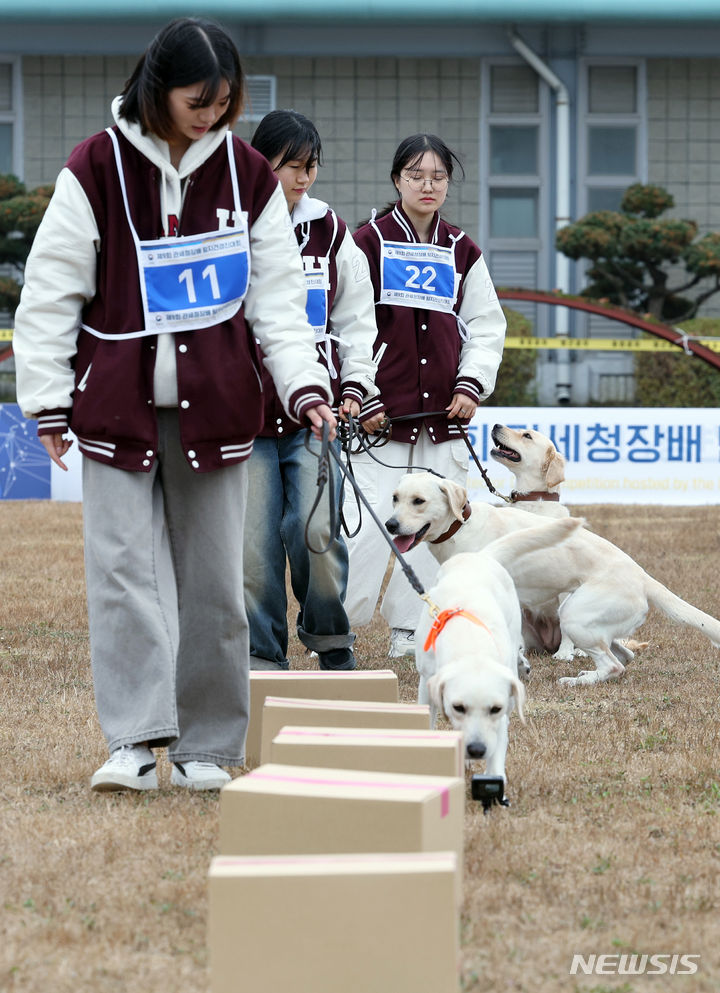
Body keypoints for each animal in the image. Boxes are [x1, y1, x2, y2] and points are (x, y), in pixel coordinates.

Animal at [386, 472, 720, 680]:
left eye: (418, 501)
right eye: (395, 498)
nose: (390, 525)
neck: (462, 526)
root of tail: (641, 574)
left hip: (573, 615)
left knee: (615, 666)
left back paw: (576, 680)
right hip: (595, 625)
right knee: (625, 657)